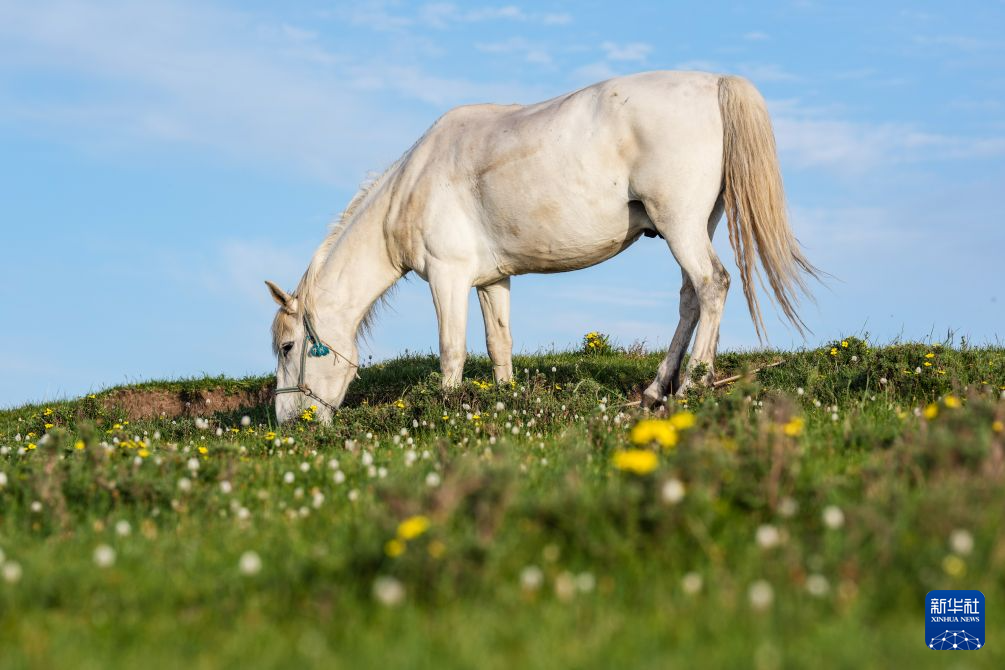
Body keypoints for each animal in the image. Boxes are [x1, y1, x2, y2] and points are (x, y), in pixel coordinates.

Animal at [266, 70, 818, 423]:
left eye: (288, 346)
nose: (288, 420)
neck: (414, 184)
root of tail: (715, 83)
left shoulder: (448, 278)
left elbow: (451, 350)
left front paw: (446, 408)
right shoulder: (491, 281)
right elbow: (499, 345)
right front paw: (506, 401)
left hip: (680, 224)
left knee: (712, 285)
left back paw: (693, 382)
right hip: (695, 226)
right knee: (690, 298)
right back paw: (656, 389)